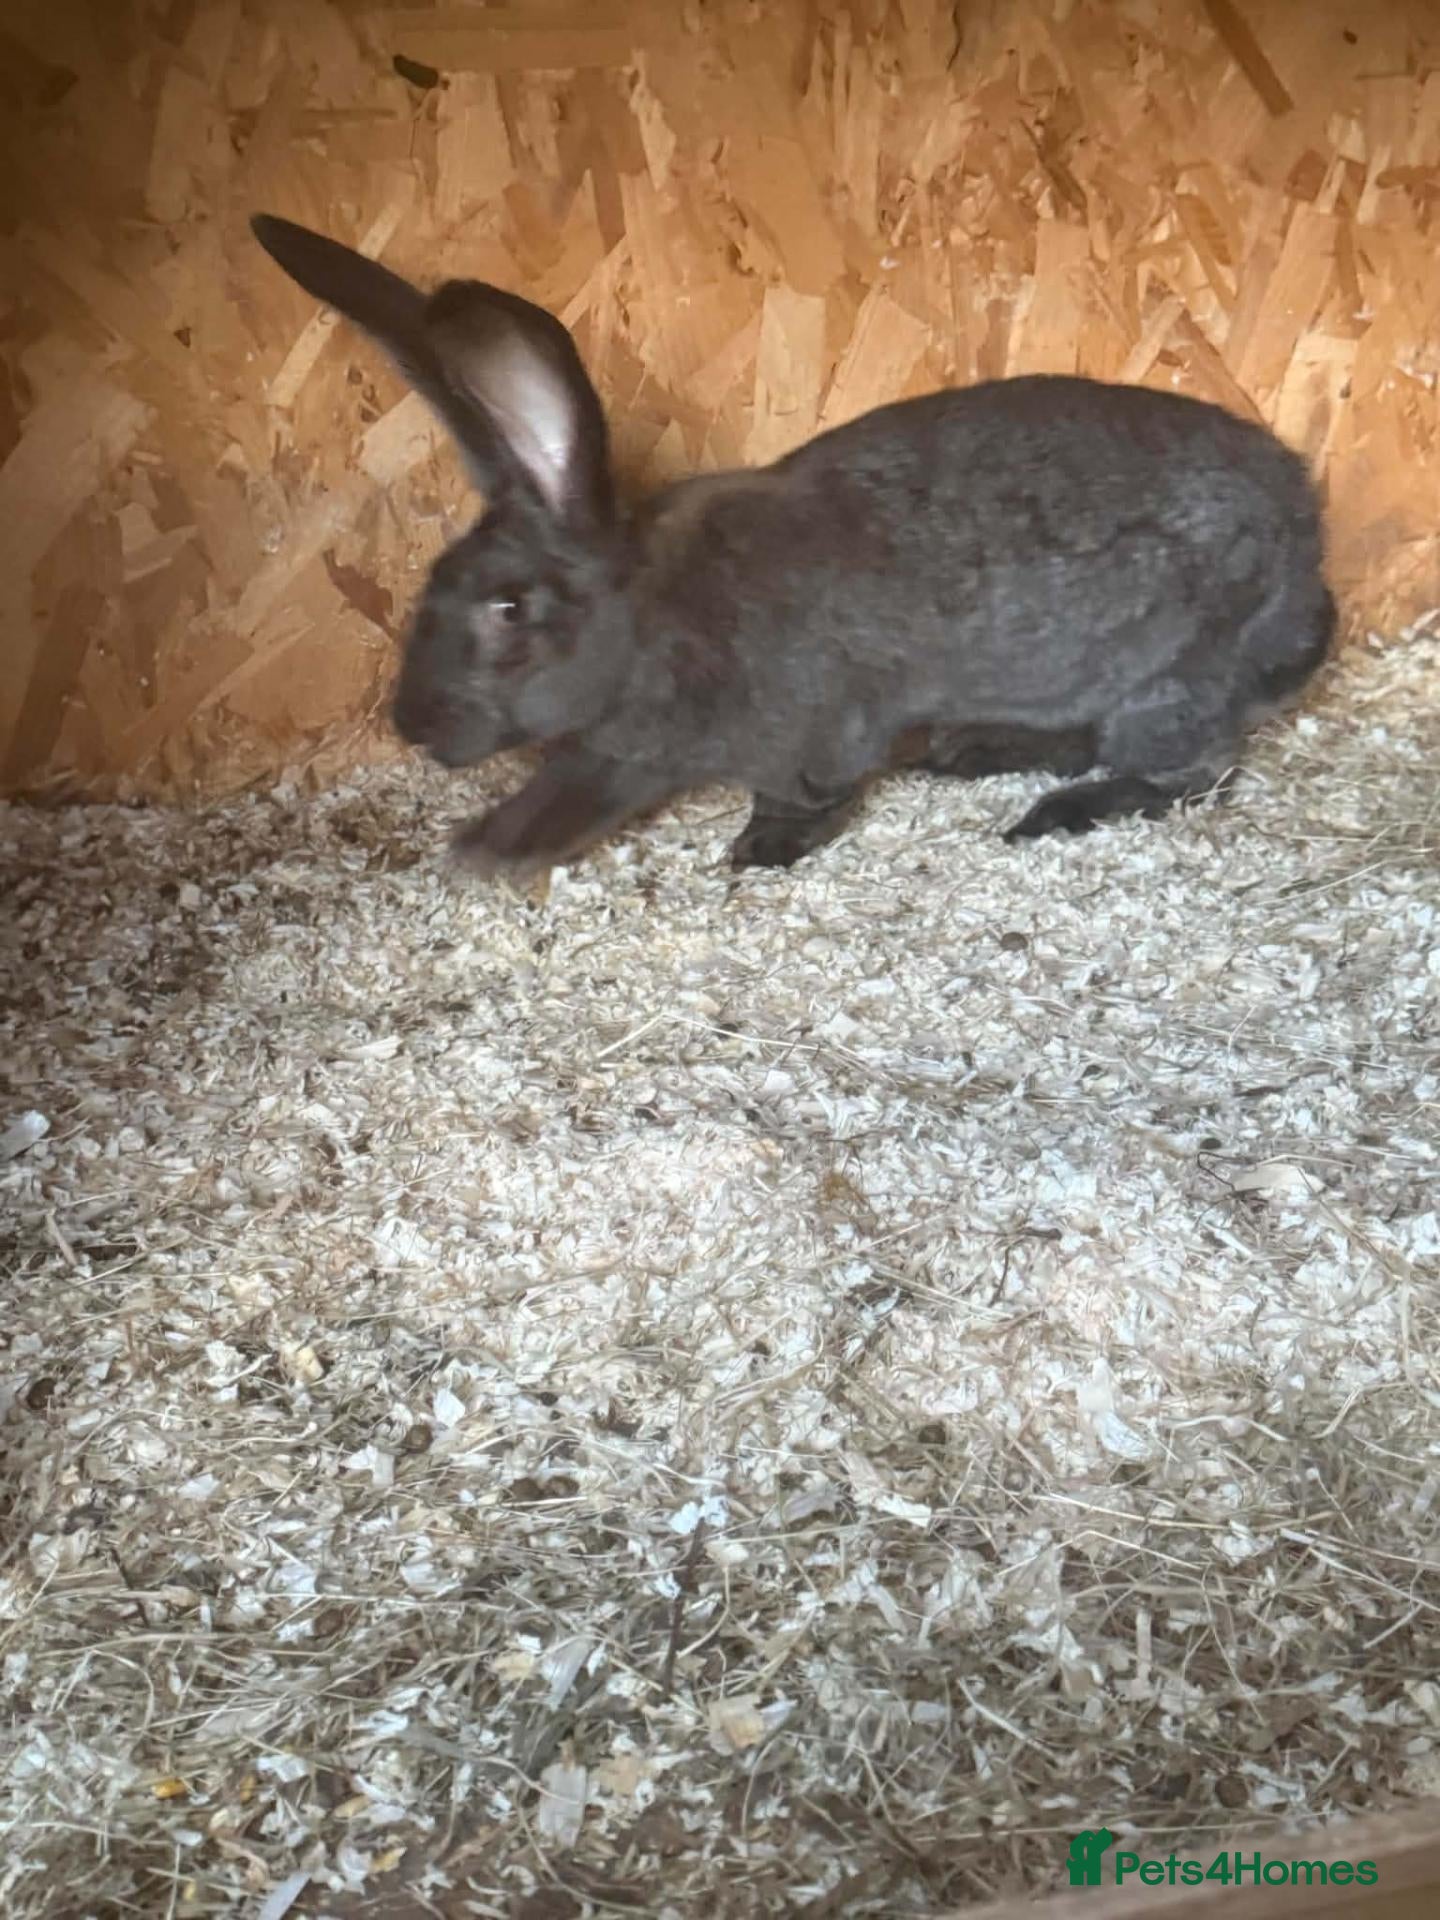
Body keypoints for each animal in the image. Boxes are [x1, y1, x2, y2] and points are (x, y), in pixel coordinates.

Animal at [250, 213, 1335, 878]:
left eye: (510, 609)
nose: (415, 726)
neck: (649, 620)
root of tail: (1310, 551)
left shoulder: (793, 734)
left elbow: (800, 797)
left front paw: (751, 852)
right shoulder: (630, 751)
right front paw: (489, 846)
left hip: (1170, 684)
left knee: (1189, 770)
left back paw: (1053, 812)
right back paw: (972, 752)